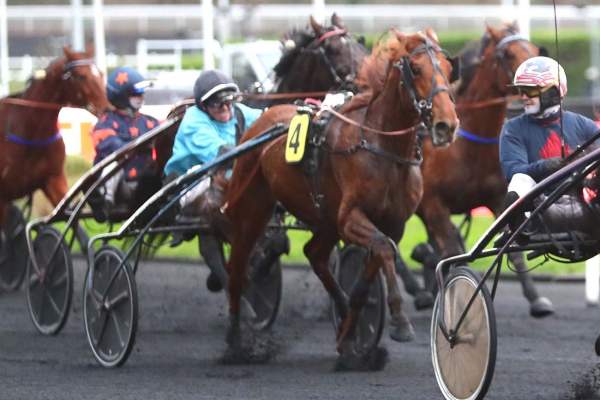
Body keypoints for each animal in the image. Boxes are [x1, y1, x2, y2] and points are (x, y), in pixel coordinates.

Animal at [0, 46, 109, 235]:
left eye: (100, 73)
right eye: (81, 76)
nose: (107, 107)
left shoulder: (54, 180)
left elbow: (71, 219)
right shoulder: (2, 197)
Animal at [222, 29, 458, 369]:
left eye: (449, 69)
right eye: (416, 69)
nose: (446, 125)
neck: (382, 147)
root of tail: (263, 120)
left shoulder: (392, 223)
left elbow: (372, 267)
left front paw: (351, 338)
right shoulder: (350, 218)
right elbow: (384, 248)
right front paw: (400, 321)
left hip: (325, 219)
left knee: (315, 254)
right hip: (252, 207)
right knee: (238, 267)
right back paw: (235, 340)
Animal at [396, 23, 555, 317]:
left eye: (533, 48)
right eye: (507, 54)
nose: (538, 87)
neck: (469, 147)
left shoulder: (496, 198)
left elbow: (512, 248)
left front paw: (536, 299)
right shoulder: (434, 204)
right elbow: (450, 250)